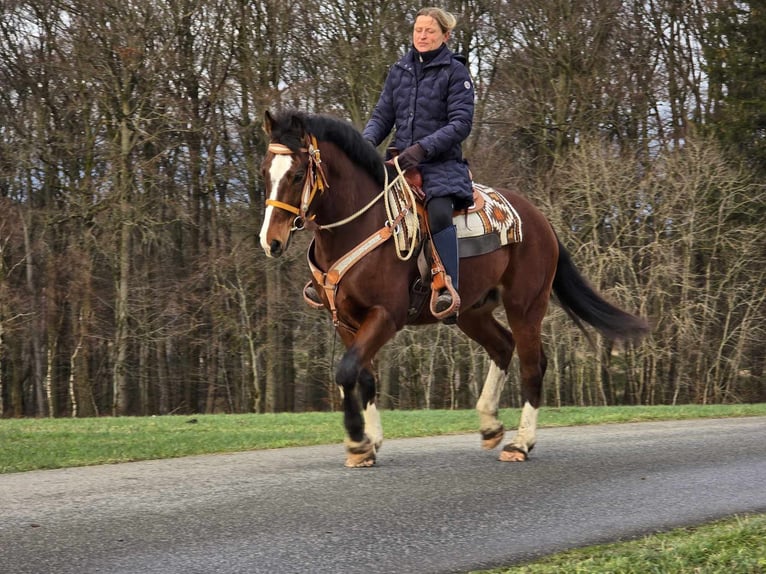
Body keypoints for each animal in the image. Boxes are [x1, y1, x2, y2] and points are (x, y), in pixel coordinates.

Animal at [260, 108, 652, 468]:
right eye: (265, 172)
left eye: (297, 174)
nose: (271, 241)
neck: (360, 224)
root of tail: (539, 218)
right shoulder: (344, 319)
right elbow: (362, 374)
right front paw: (370, 442)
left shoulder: (386, 315)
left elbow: (346, 371)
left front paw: (357, 441)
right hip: (471, 311)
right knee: (502, 346)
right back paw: (491, 424)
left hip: (525, 305)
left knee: (532, 363)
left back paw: (520, 443)